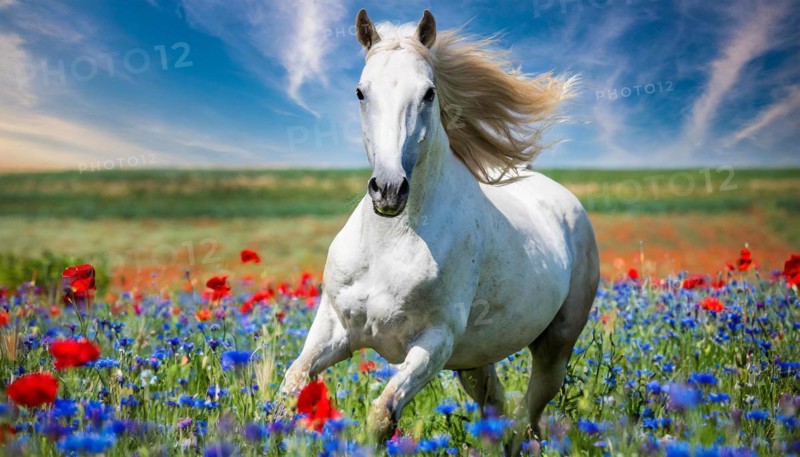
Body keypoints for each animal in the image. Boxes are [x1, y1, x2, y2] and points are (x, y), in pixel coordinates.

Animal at [281, 8, 599, 449]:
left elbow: (381, 415)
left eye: (429, 93)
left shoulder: (434, 342)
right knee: (496, 408)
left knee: (525, 418)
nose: (389, 190)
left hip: (555, 346)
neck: (391, 242)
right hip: (475, 362)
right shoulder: (335, 327)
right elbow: (289, 390)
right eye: (360, 92)